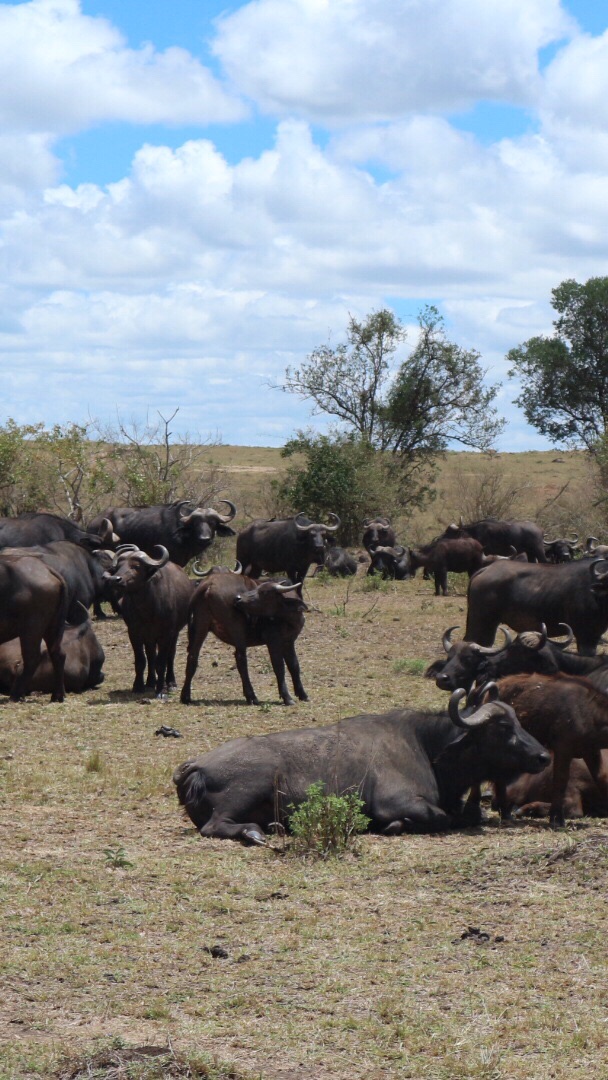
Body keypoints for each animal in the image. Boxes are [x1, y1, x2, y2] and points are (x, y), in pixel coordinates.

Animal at [0, 552, 66, 704]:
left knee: (32, 658)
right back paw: (58, 695)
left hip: (31, 628)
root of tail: (46, 568)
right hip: (52, 626)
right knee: (58, 654)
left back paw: (16, 694)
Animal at [100, 548, 194, 699]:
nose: (115, 579)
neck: (147, 608)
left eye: (136, 566)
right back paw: (150, 682)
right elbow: (141, 660)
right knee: (151, 656)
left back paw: (170, 683)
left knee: (170, 655)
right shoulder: (134, 633)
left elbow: (161, 662)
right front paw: (138, 686)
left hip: (174, 633)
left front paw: (161, 690)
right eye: (119, 567)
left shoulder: (166, 634)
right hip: (149, 637)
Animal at [172, 682, 552, 842]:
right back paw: (254, 832)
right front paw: (395, 826)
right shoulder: (397, 803)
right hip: (253, 786)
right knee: (216, 825)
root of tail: (195, 765)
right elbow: (443, 819)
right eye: (503, 728)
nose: (543, 756)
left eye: (518, 720)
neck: (428, 745)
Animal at [178, 574, 306, 708]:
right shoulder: (273, 642)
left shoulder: (289, 642)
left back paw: (185, 697)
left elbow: (294, 666)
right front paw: (287, 697)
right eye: (259, 589)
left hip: (200, 626)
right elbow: (279, 667)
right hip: (237, 630)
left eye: (264, 592)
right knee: (241, 660)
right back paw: (252, 697)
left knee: (192, 657)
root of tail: (209, 583)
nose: (238, 599)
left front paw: (302, 694)